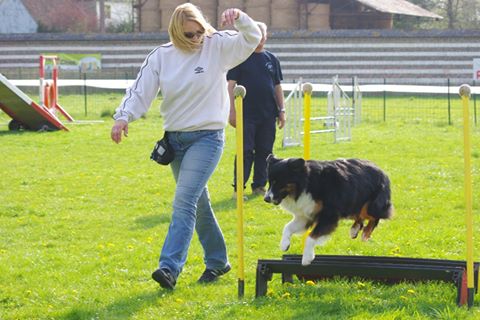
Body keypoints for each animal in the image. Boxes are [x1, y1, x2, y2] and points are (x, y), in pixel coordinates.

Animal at [262, 154, 394, 264]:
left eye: (278, 182)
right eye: (270, 182)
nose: (266, 199)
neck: (307, 183)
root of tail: (381, 170)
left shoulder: (328, 214)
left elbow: (311, 237)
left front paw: (307, 258)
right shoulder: (306, 214)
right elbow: (287, 227)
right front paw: (284, 245)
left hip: (370, 204)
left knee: (375, 216)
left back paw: (365, 234)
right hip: (352, 202)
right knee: (360, 216)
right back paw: (354, 230)